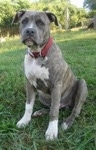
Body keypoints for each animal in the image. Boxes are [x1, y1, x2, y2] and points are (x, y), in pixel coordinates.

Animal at [12, 9, 88, 140]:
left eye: (41, 23)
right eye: (24, 21)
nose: (29, 31)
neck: (37, 53)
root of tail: (65, 105)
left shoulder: (56, 86)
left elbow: (54, 111)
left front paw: (52, 131)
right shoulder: (29, 84)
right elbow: (28, 106)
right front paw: (25, 121)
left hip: (82, 84)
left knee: (73, 109)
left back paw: (67, 123)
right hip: (43, 96)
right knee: (53, 106)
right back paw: (40, 112)